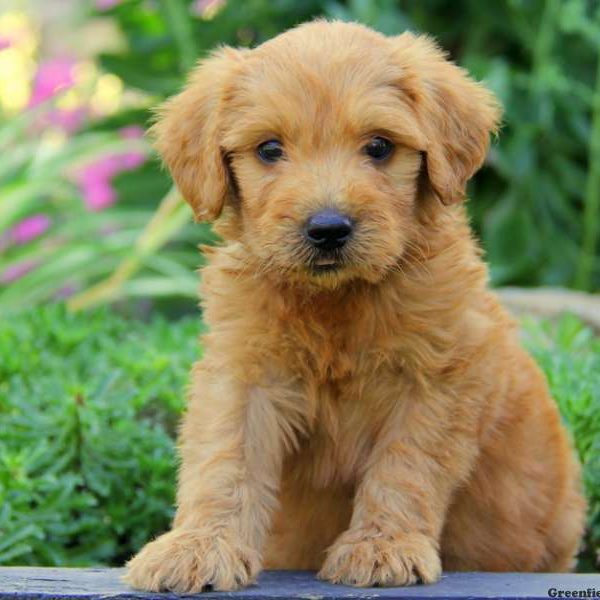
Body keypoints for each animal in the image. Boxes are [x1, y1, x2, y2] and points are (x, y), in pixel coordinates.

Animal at [124, 19, 584, 596]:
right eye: (269, 149)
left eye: (380, 147)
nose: (328, 228)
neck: (337, 302)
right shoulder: (243, 371)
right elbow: (224, 458)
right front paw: (200, 546)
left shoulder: (439, 378)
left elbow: (406, 464)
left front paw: (383, 546)